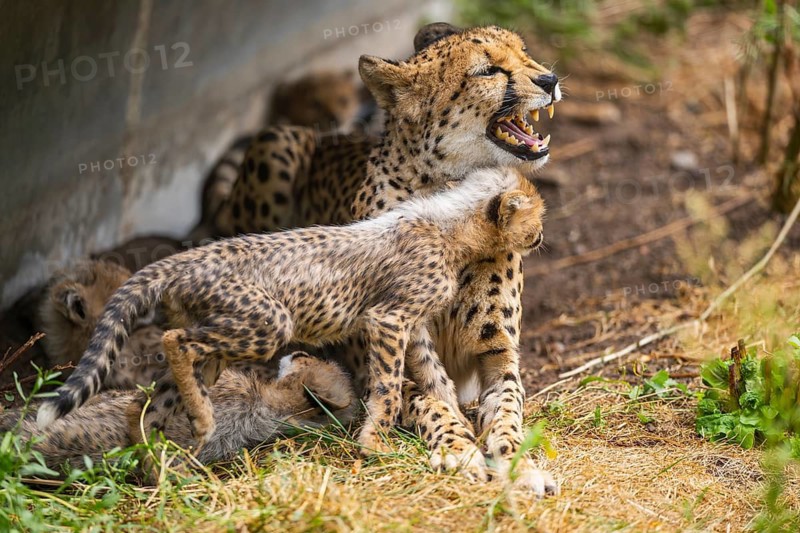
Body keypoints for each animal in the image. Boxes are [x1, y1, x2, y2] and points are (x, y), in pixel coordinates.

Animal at [206, 22, 562, 495]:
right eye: (488, 70)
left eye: (525, 53)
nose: (549, 80)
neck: (453, 201)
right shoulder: (377, 358)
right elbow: (422, 398)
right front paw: (457, 447)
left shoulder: (497, 353)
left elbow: (507, 409)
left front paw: (517, 461)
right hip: (277, 142)